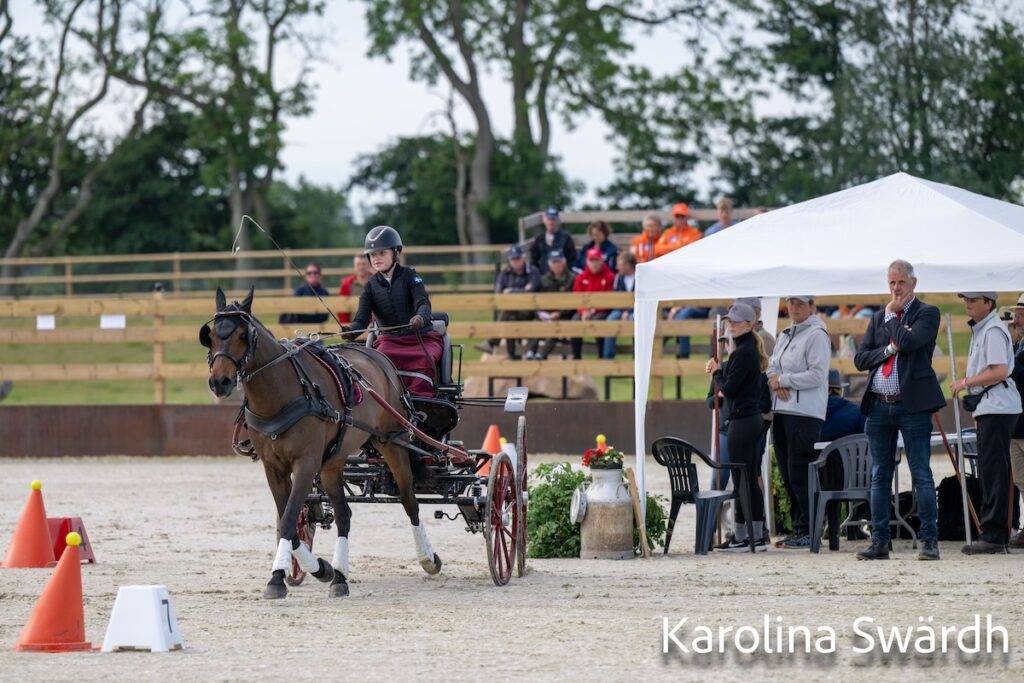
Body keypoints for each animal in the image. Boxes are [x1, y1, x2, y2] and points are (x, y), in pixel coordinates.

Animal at [200, 287, 442, 599]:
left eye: (244, 334)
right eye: (211, 335)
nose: (220, 382)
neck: (281, 394)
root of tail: (380, 358)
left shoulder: (306, 463)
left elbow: (290, 516)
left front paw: (276, 579)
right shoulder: (273, 468)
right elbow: (290, 520)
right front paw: (317, 569)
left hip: (393, 443)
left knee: (409, 501)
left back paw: (428, 558)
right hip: (333, 463)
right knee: (344, 514)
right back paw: (339, 576)